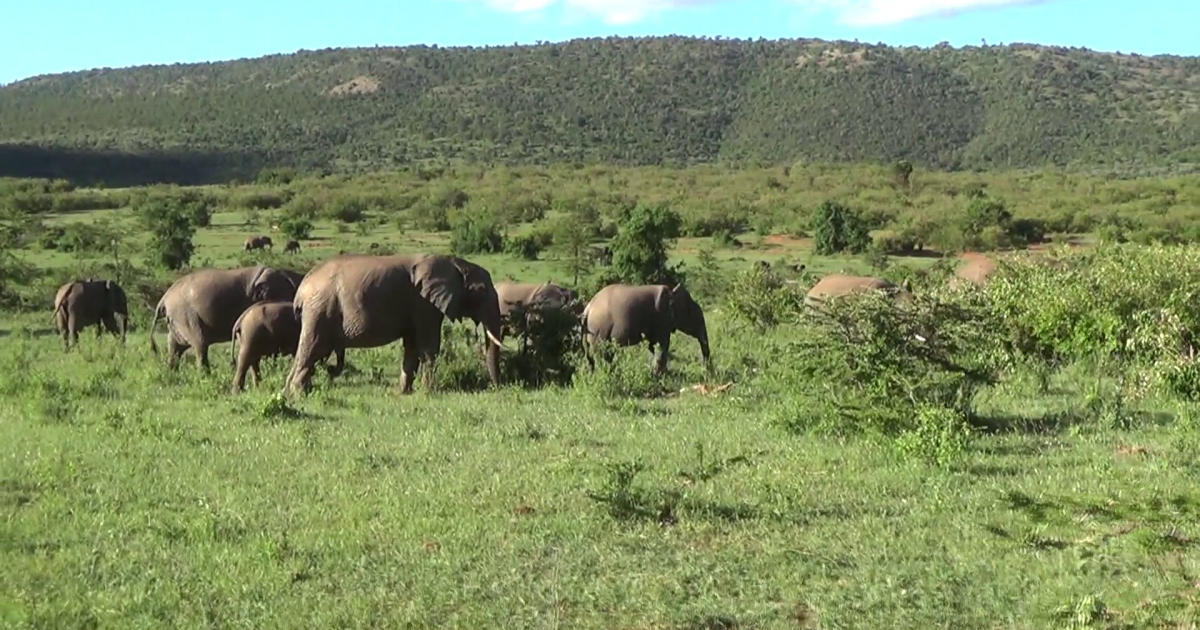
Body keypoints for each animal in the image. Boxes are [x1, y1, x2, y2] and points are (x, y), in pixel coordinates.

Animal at [148, 265, 302, 370]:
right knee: (200, 344)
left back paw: (172, 372)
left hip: (177, 319)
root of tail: (163, 299)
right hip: (186, 315)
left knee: (175, 347)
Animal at [281, 253, 507, 396]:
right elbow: (428, 346)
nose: (497, 388)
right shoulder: (424, 303)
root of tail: (301, 290)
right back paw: (299, 393)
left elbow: (412, 347)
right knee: (311, 349)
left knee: (307, 352)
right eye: (481, 291)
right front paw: (429, 391)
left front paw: (405, 392)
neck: (456, 262)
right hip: (319, 309)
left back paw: (291, 391)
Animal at [581, 283, 710, 374]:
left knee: (592, 355)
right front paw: (660, 374)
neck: (671, 293)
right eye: (693, 314)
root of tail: (588, 308)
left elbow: (652, 346)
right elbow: (662, 345)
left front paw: (655, 372)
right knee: (601, 353)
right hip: (599, 332)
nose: (706, 369)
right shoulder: (661, 319)